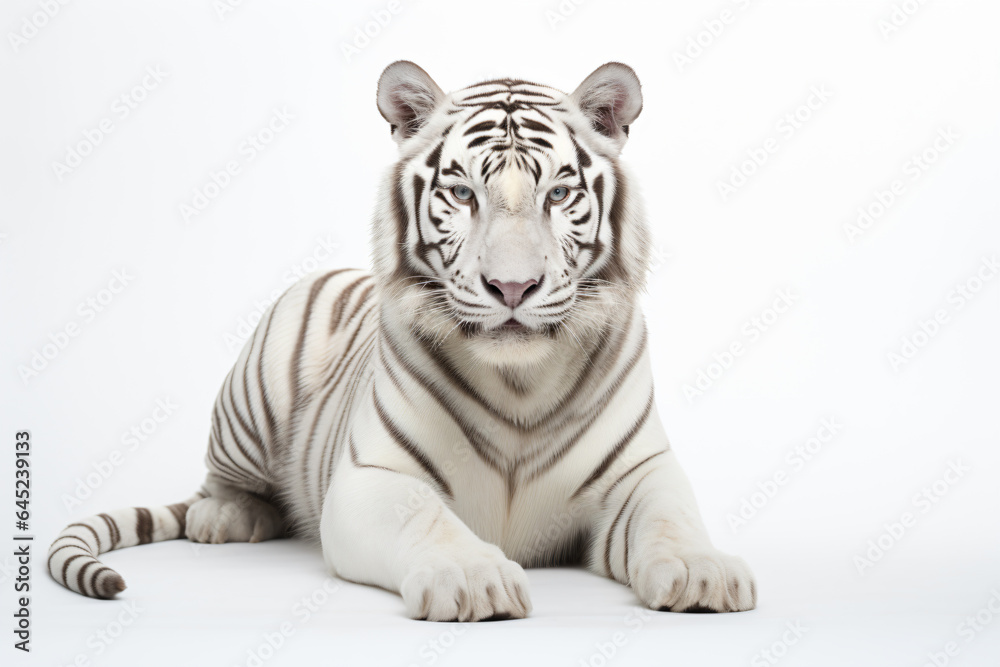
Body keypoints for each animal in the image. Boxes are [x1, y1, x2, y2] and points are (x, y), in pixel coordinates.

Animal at [49, 61, 757, 621]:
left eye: (558, 193)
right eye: (463, 192)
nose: (512, 287)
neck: (521, 382)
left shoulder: (641, 472)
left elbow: (669, 517)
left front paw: (703, 572)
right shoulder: (373, 479)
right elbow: (429, 521)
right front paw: (474, 579)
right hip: (249, 403)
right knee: (217, 485)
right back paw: (229, 518)